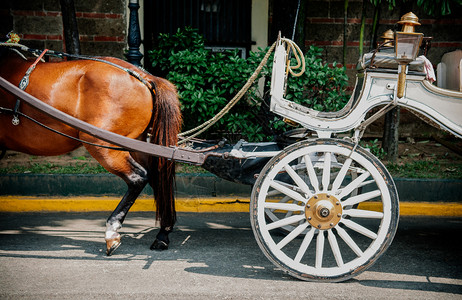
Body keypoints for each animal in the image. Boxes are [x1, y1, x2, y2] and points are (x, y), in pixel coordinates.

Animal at [0, 49, 183, 255]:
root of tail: (144, 76)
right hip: (135, 143)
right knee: (157, 178)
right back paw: (163, 233)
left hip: (101, 144)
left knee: (138, 178)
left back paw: (112, 231)